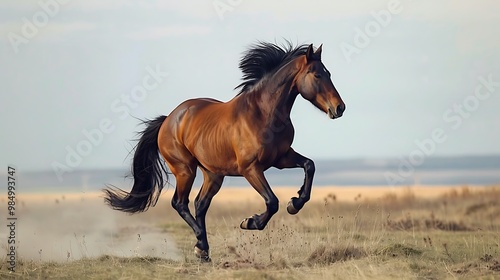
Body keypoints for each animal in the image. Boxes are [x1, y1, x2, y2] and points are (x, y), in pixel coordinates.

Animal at [103, 41, 346, 260]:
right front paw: (250, 222)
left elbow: (309, 165)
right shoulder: (251, 169)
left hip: (213, 174)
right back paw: (201, 245)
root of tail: (168, 119)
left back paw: (203, 250)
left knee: (200, 205)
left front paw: (295, 204)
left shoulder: (281, 158)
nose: (340, 108)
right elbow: (272, 202)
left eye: (329, 73)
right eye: (317, 75)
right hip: (185, 170)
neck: (263, 113)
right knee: (180, 203)